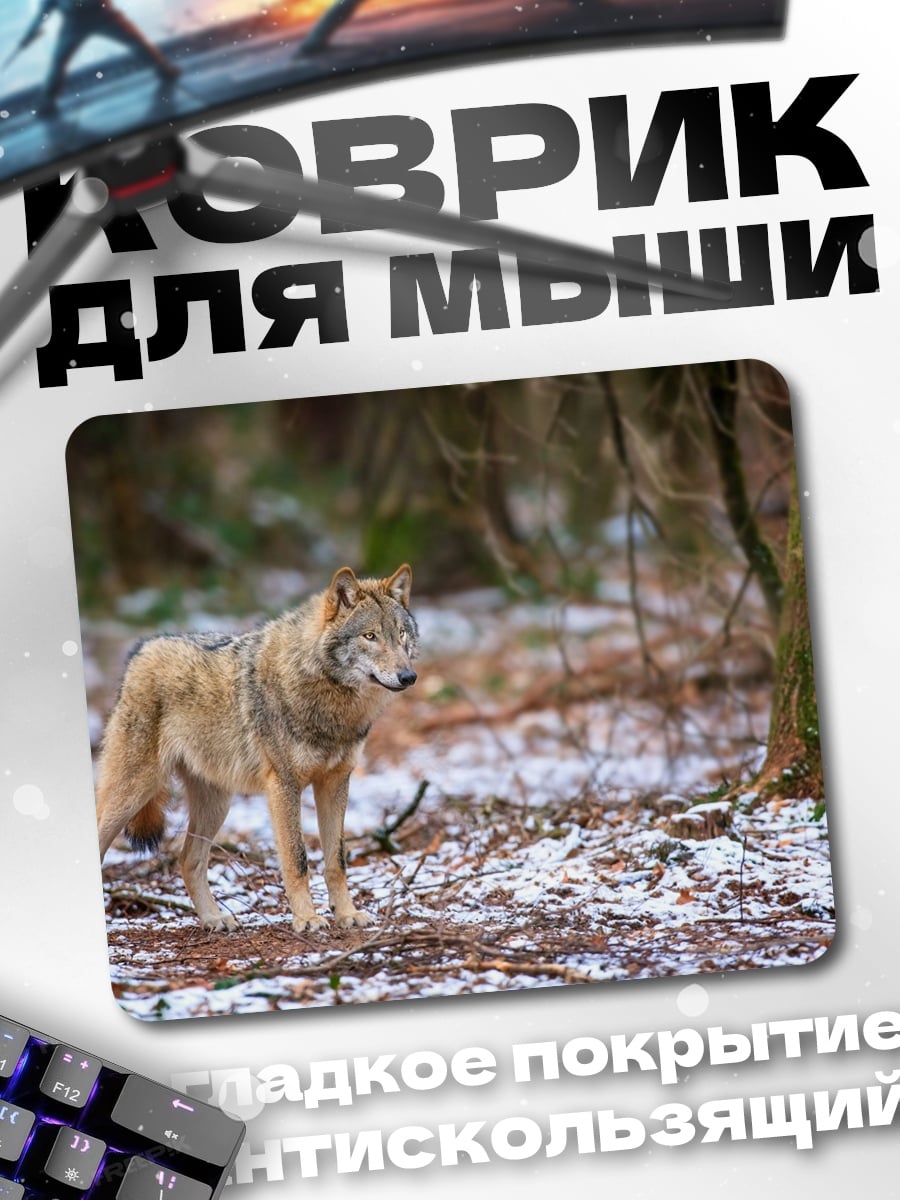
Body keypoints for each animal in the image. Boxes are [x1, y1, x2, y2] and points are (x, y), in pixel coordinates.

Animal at [96, 564, 418, 933]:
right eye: (370, 636)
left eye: (401, 634)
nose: (408, 676)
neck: (331, 701)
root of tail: (142, 648)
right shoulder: (284, 785)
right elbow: (297, 859)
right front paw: (307, 919)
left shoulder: (336, 782)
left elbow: (337, 860)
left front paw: (347, 914)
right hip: (133, 793)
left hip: (216, 805)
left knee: (188, 860)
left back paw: (214, 919)